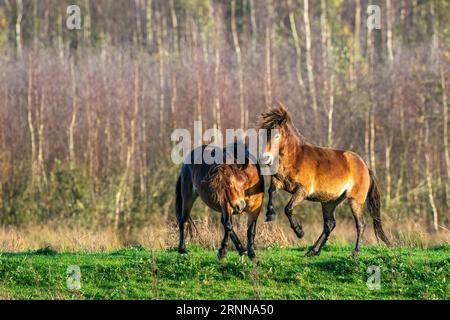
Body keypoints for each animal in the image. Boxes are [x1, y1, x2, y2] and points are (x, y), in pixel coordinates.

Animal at [258, 104, 388, 256]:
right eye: (263, 134)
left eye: (277, 135)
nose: (265, 159)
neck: (295, 158)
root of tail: (365, 167)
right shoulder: (279, 183)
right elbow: (271, 191)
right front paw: (270, 215)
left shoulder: (302, 190)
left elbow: (288, 209)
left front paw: (299, 232)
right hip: (328, 202)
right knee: (330, 224)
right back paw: (313, 250)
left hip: (354, 201)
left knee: (360, 223)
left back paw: (355, 252)